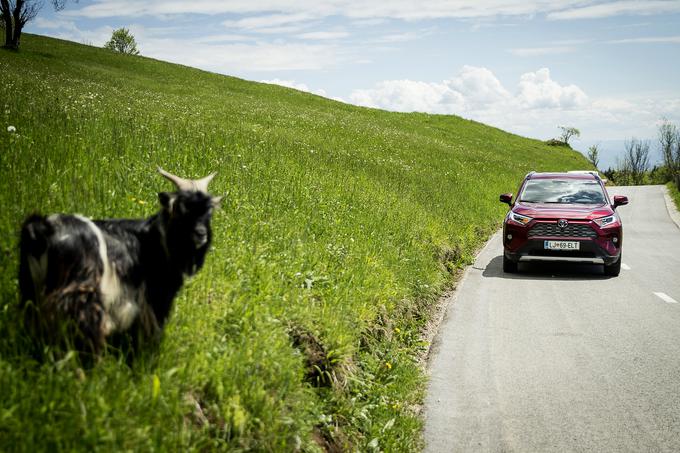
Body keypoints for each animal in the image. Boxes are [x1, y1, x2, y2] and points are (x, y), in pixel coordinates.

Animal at [18, 168, 222, 354]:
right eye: (180, 210)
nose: (201, 234)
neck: (155, 239)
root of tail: (43, 230)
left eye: (209, 213)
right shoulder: (153, 300)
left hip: (31, 292)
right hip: (82, 301)